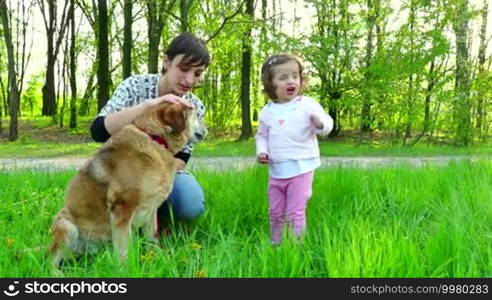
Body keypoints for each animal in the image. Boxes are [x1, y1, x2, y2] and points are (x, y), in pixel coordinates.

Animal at [51, 102, 208, 270]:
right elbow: (123, 247)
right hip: (67, 227)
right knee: (50, 260)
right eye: (197, 115)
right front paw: (124, 268)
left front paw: (157, 258)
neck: (156, 138)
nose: (208, 129)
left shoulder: (151, 210)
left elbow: (152, 238)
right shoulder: (122, 209)